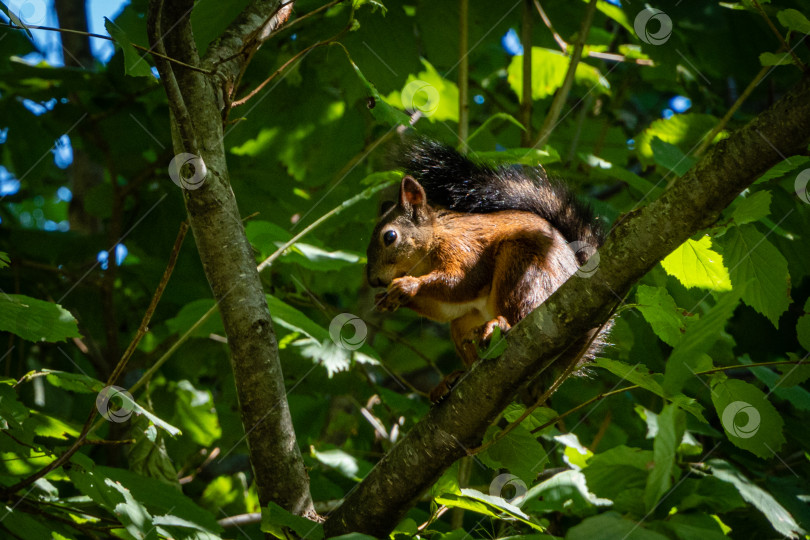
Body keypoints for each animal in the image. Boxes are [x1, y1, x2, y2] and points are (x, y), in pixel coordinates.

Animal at [366, 139, 608, 400]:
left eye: (390, 236)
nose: (373, 281)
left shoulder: (464, 247)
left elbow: (461, 282)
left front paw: (408, 285)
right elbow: (444, 308)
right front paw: (386, 299)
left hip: (522, 269)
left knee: (519, 314)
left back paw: (499, 325)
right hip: (464, 323)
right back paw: (454, 378)